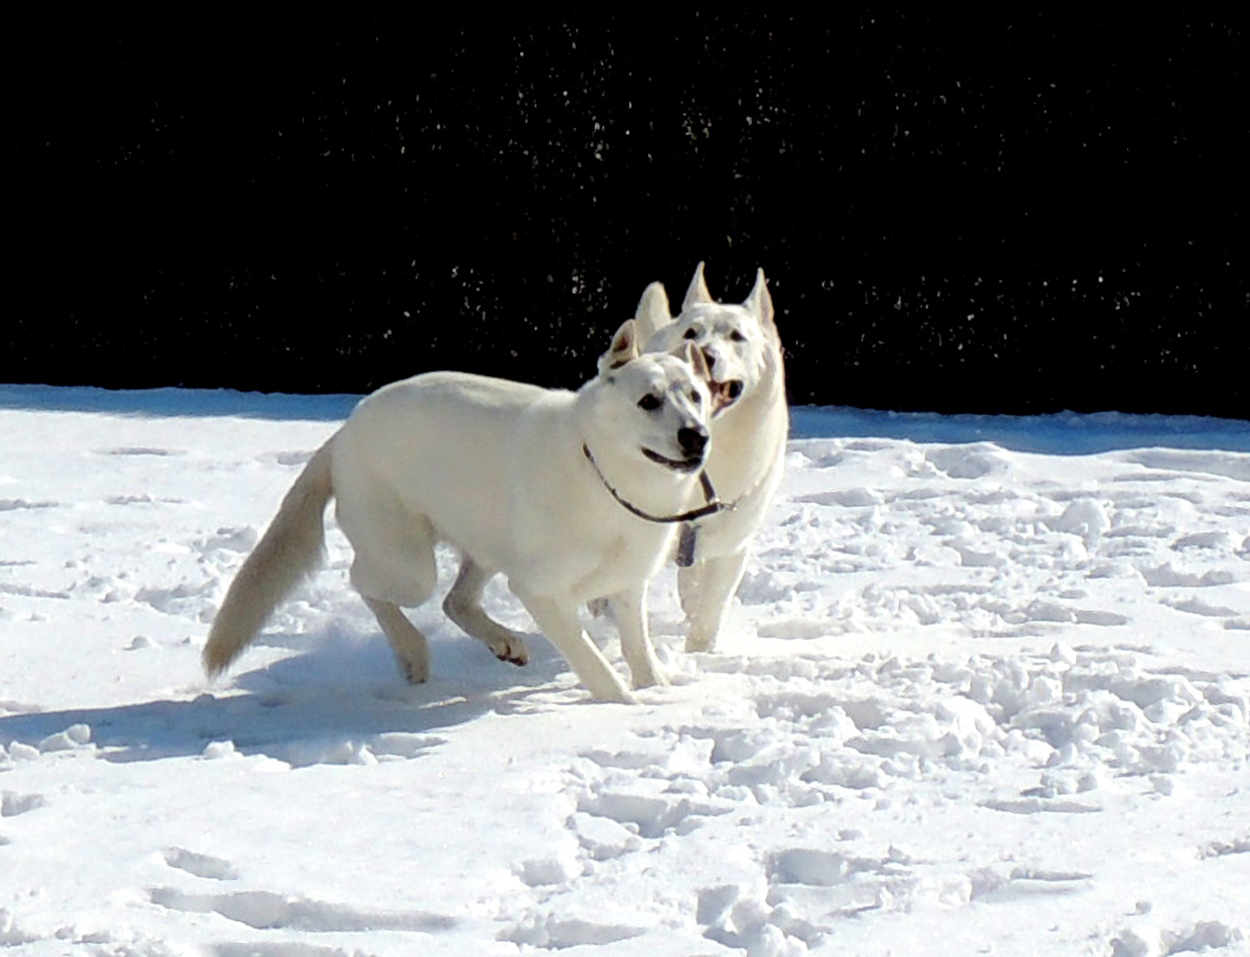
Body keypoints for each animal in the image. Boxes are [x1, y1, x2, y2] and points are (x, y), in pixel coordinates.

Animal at [203, 322, 715, 704]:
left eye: (695, 396)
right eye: (648, 401)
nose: (697, 436)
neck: (601, 473)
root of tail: (343, 434)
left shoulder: (627, 585)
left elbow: (638, 649)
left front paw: (657, 693)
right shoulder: (541, 592)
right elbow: (595, 664)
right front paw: (625, 708)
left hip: (484, 542)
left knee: (456, 601)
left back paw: (503, 641)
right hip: (407, 567)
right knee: (365, 583)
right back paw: (412, 651)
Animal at [630, 264, 785, 649]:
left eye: (737, 337)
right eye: (692, 333)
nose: (706, 355)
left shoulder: (732, 545)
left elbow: (711, 608)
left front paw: (698, 653)